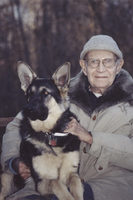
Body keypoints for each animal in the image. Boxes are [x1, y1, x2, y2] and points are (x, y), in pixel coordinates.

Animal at [0, 62, 83, 200]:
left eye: (45, 93)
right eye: (30, 94)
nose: (27, 109)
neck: (50, 133)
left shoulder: (71, 172)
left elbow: (76, 184)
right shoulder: (42, 182)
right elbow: (56, 183)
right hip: (6, 180)